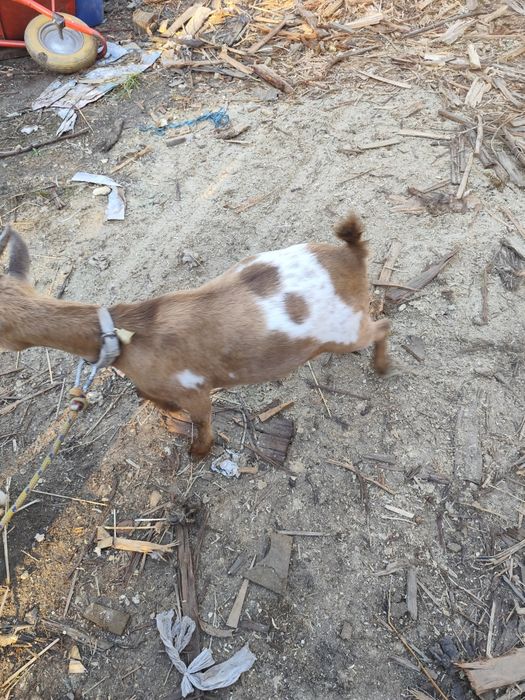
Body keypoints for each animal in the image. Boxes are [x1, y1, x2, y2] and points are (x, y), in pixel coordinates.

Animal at [0, 215, 390, 456]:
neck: (124, 335)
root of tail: (352, 255)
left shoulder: (196, 389)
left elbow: (202, 420)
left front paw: (198, 451)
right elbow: (145, 394)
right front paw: (168, 411)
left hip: (344, 330)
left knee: (382, 326)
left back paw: (382, 367)